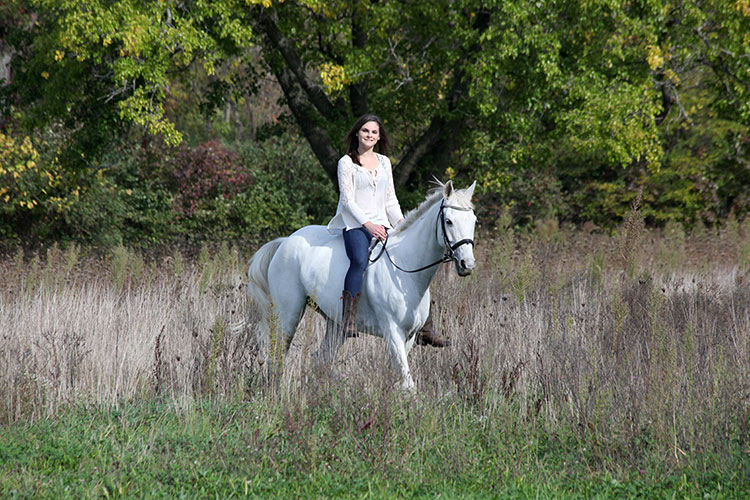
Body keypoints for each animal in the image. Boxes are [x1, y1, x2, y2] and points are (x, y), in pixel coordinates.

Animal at [250, 181, 478, 390]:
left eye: (473, 221)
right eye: (448, 221)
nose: (467, 264)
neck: (405, 266)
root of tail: (285, 241)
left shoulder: (409, 337)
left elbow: (399, 379)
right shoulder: (393, 332)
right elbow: (408, 384)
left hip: (336, 325)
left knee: (320, 360)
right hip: (289, 314)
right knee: (278, 357)